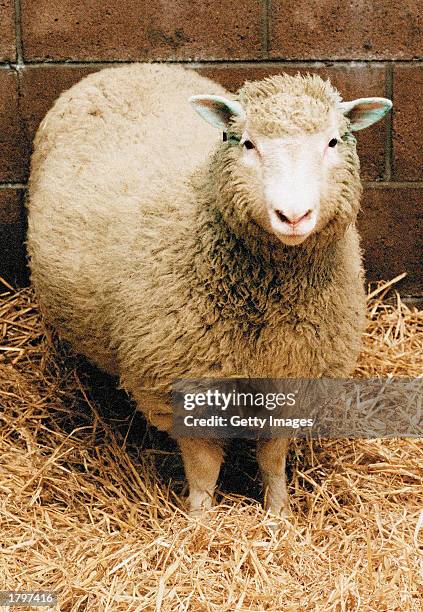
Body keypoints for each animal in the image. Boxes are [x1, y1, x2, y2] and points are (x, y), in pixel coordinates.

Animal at [25, 64, 390, 520]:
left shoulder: (292, 375)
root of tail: (127, 67)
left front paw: (279, 515)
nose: (292, 216)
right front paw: (199, 520)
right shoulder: (183, 380)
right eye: (247, 143)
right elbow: (203, 468)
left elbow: (273, 456)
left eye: (333, 141)